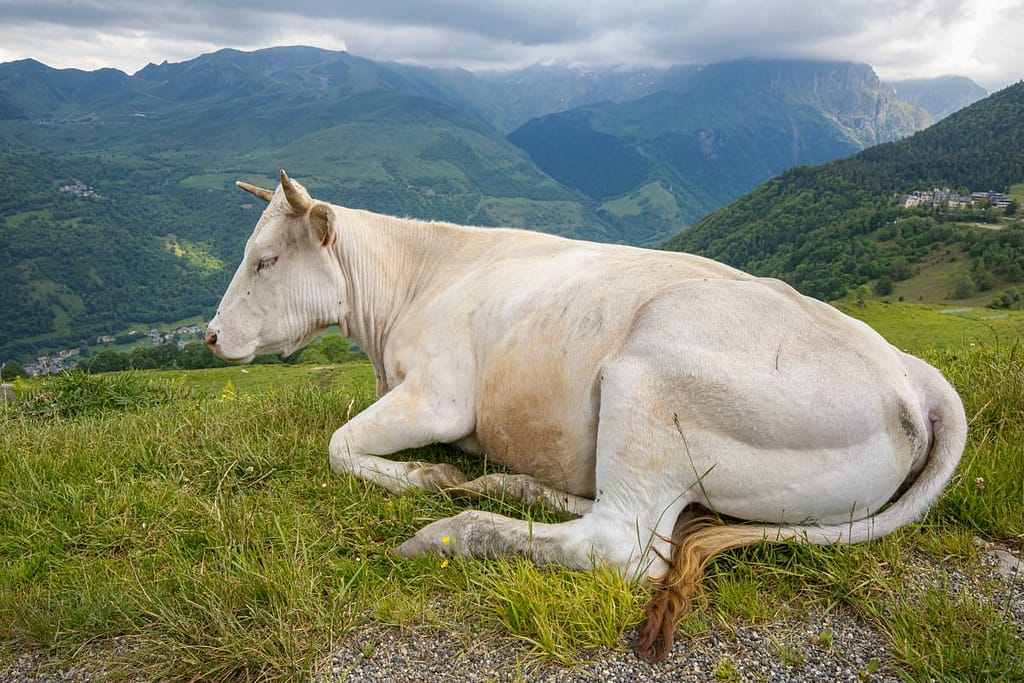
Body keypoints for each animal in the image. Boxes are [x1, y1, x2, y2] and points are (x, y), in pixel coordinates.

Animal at [205, 170, 967, 662]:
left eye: (266, 259)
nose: (210, 336)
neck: (410, 288)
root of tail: (912, 375)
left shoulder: (441, 396)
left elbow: (338, 445)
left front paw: (425, 477)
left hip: (648, 381)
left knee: (619, 543)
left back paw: (452, 529)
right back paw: (508, 484)